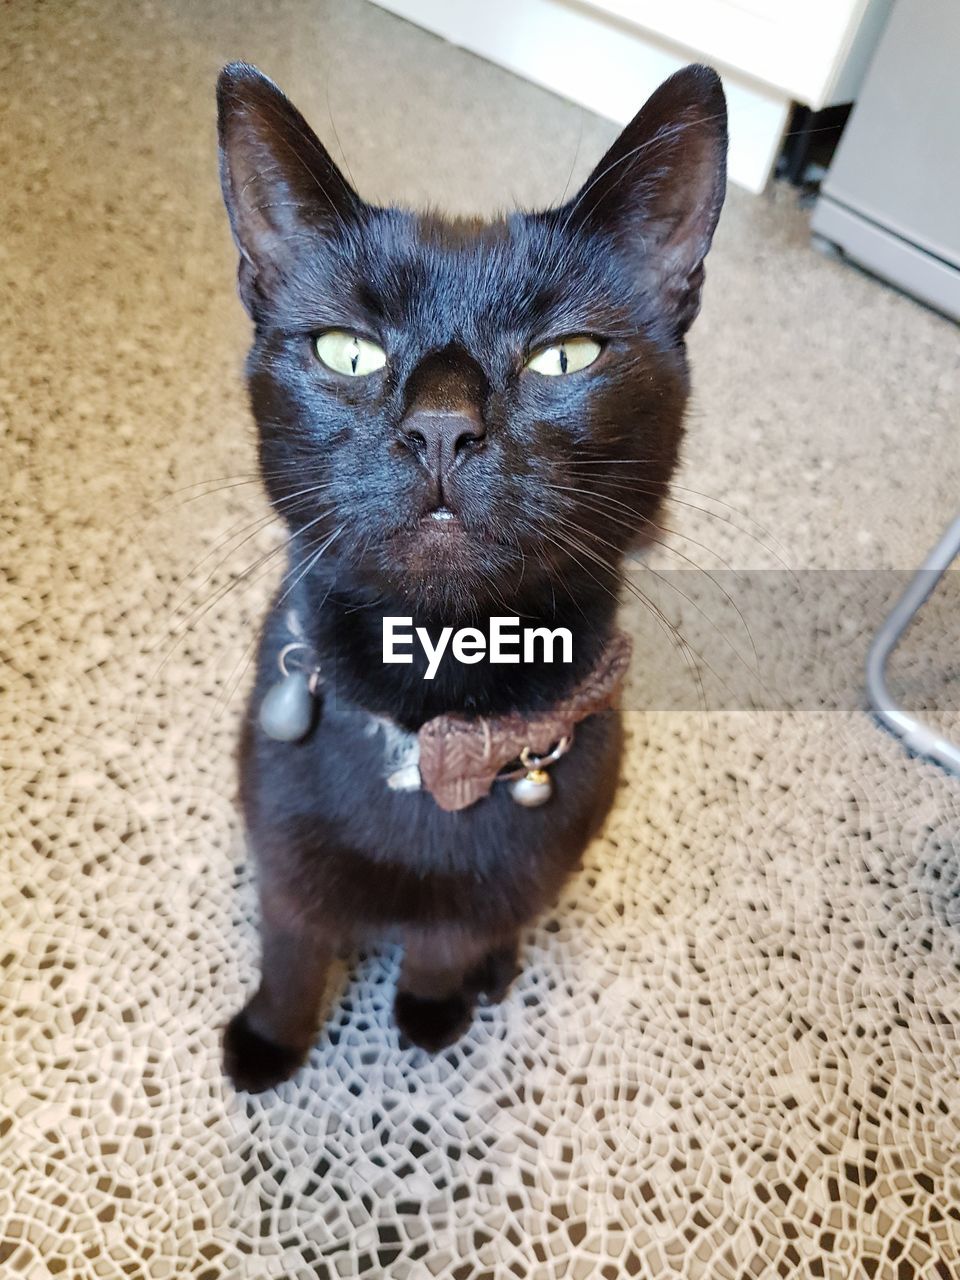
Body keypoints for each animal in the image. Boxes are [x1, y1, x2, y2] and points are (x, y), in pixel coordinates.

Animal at [216, 55, 727, 1085]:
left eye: (566, 356)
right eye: (346, 349)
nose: (442, 426)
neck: (427, 731)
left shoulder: (513, 864)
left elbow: (449, 934)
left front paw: (430, 1007)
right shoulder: (282, 850)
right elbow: (291, 947)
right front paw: (273, 1041)